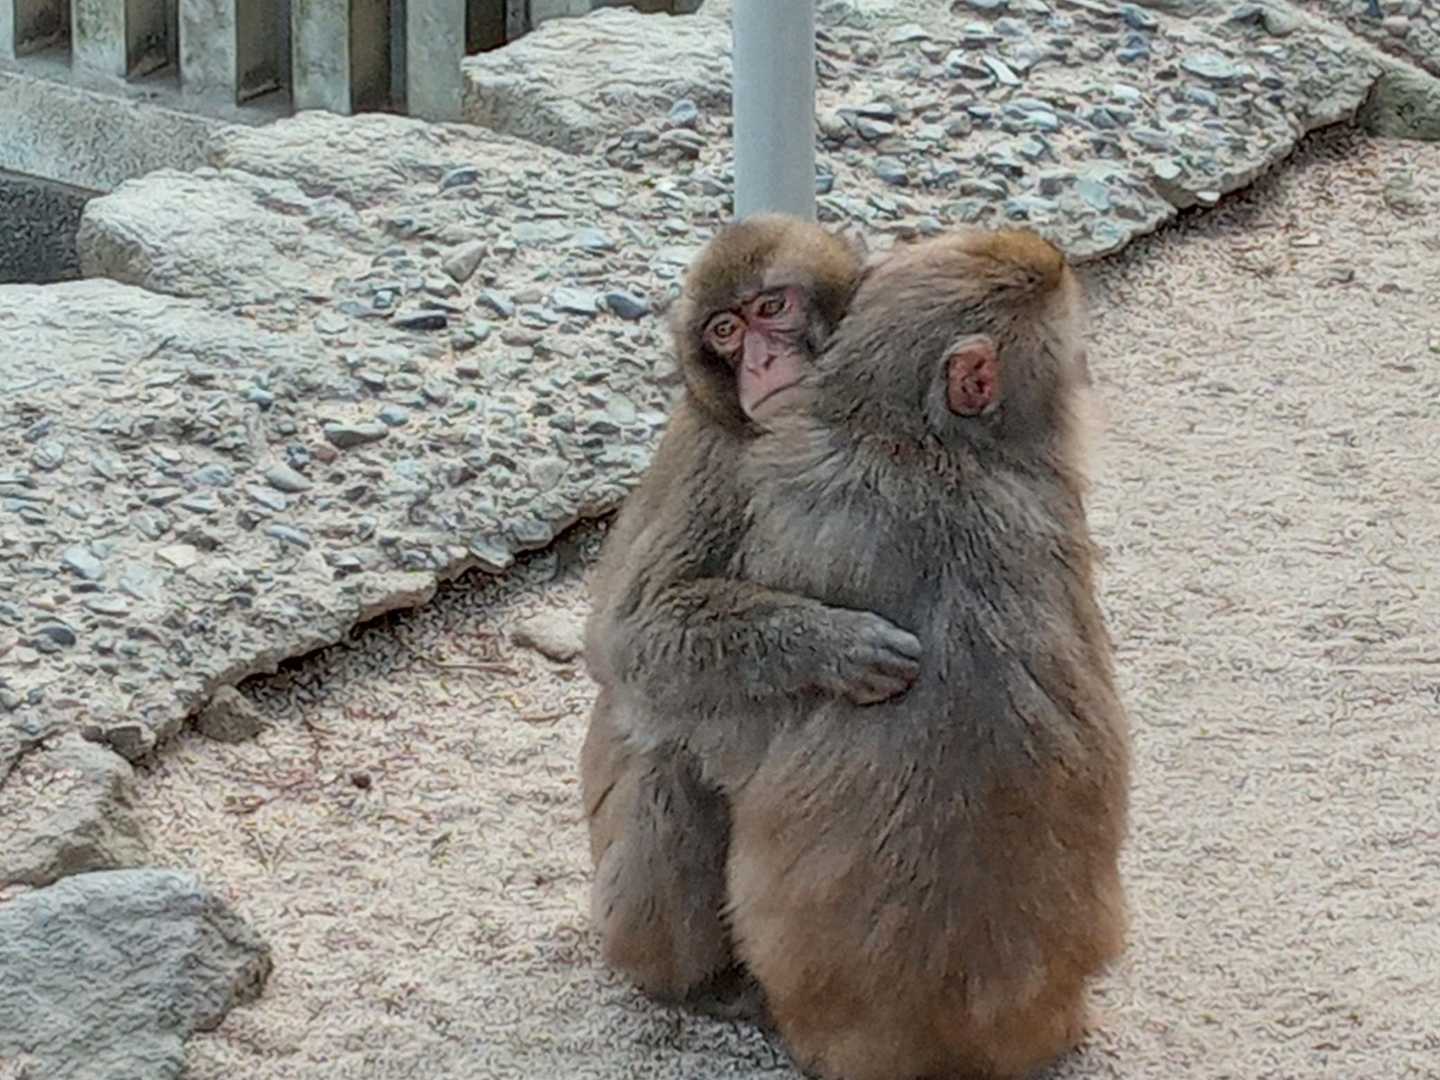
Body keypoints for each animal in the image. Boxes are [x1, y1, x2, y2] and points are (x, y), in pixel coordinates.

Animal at [579, 214, 923, 1010]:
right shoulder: (719, 460)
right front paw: (835, 643)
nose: (761, 360)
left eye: (772, 309)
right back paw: (700, 985)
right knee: (666, 769)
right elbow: (631, 636)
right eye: (726, 331)